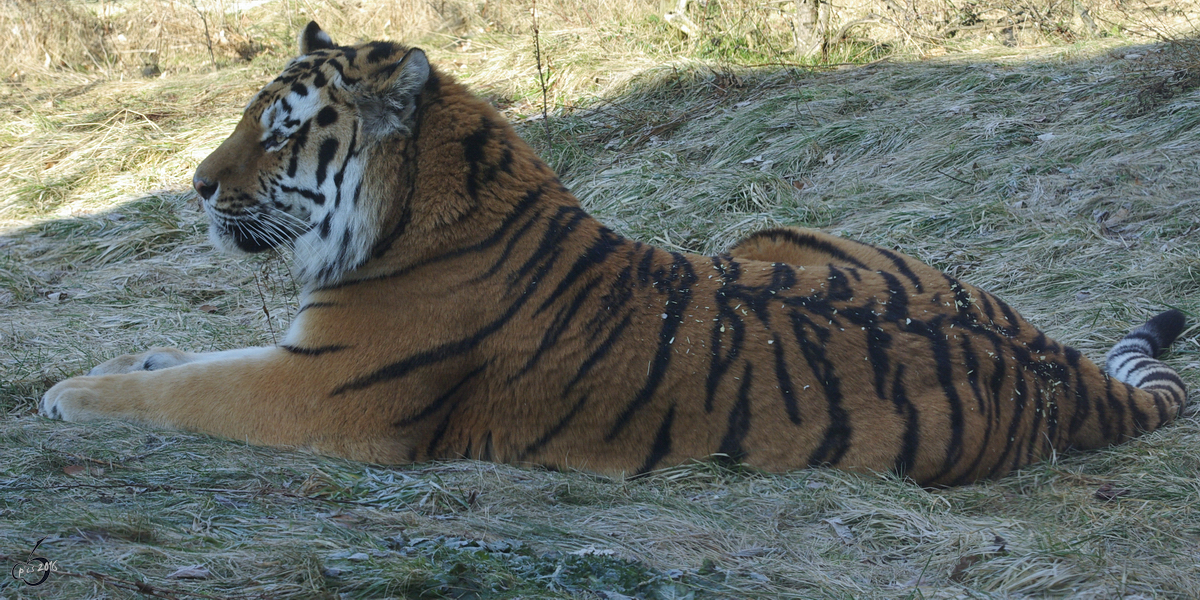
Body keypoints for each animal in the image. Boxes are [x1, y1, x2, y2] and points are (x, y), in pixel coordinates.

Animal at [39, 22, 1190, 487]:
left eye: (277, 133)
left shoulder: (322, 394)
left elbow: (185, 390)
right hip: (765, 235)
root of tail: (1065, 369)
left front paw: (69, 391)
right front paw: (129, 358)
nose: (193, 188)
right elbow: (184, 361)